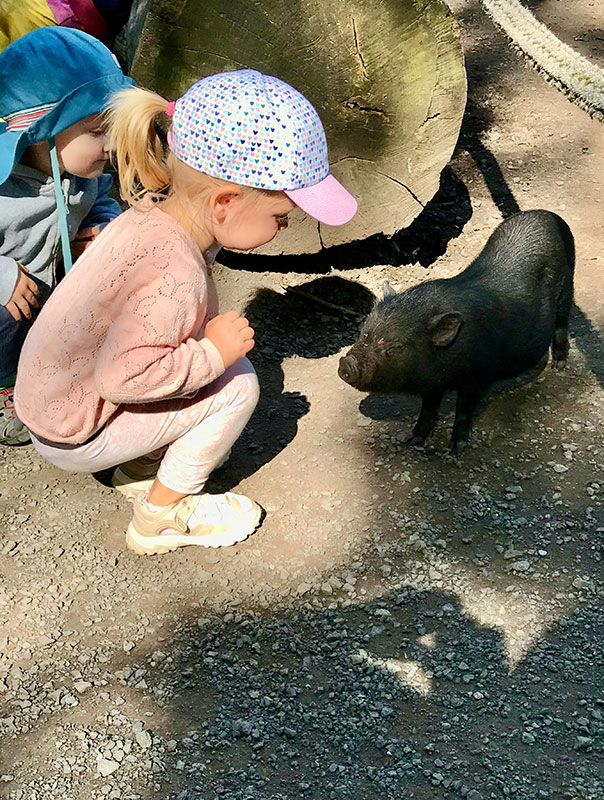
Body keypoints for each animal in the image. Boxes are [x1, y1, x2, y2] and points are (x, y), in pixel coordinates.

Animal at [340, 209, 576, 454]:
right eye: (365, 333)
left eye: (394, 347)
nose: (346, 363)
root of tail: (546, 214)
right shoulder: (432, 385)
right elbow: (428, 409)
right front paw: (411, 440)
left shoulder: (478, 377)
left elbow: (464, 410)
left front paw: (455, 448)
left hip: (567, 284)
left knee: (562, 322)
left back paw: (558, 365)